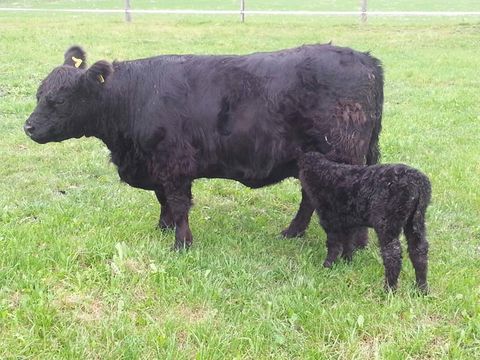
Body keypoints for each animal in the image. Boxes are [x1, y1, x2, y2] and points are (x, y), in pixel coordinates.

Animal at [23, 43, 382, 249]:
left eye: (58, 100)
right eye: (39, 94)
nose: (28, 127)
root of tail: (364, 59)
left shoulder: (174, 162)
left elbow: (179, 203)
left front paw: (181, 243)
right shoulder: (158, 167)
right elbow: (163, 200)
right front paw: (163, 228)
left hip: (341, 155)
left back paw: (356, 244)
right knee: (310, 197)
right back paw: (292, 233)